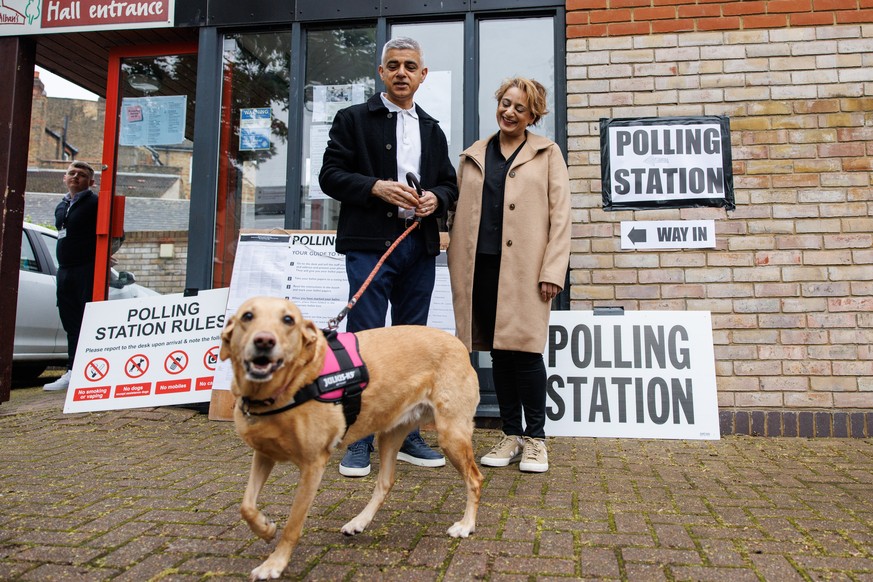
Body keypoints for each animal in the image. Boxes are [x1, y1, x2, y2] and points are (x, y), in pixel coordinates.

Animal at [220, 298, 484, 580]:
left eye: (288, 320)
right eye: (247, 316)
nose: (264, 341)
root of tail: (458, 344)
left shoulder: (312, 465)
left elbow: (293, 524)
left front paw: (275, 563)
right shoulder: (263, 454)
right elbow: (246, 506)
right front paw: (266, 529)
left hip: (451, 435)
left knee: (475, 479)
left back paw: (466, 525)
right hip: (390, 433)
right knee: (385, 482)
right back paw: (359, 522)